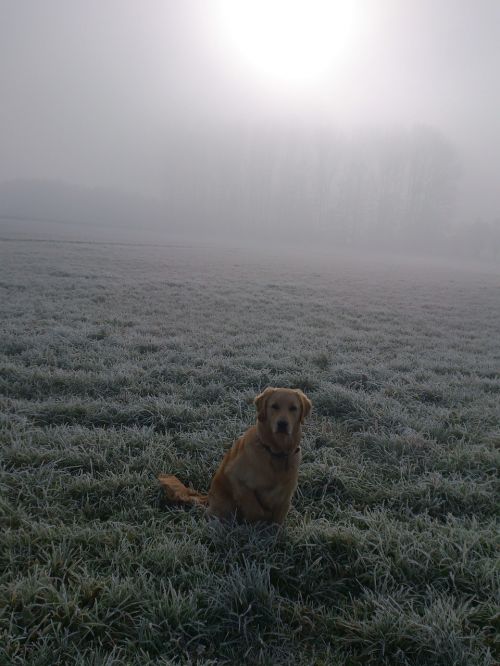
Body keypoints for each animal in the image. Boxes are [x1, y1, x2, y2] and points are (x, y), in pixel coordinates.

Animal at [158, 384, 310, 524]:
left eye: (293, 408)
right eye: (274, 406)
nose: (282, 424)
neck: (275, 452)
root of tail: (208, 496)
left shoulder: (285, 496)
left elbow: (277, 522)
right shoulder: (235, 477)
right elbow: (254, 507)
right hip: (225, 506)